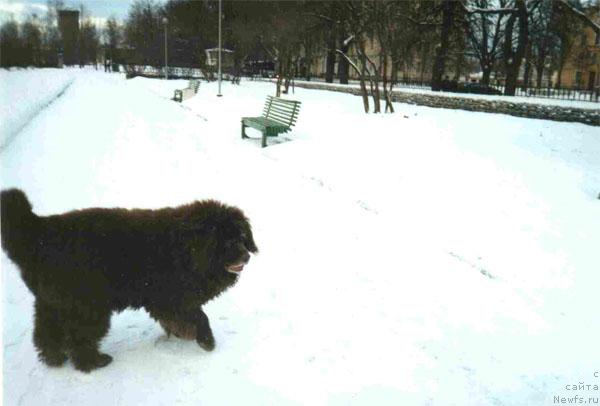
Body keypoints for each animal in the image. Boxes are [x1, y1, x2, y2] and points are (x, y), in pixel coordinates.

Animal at [0, 189, 258, 372]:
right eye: (227, 241)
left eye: (242, 236)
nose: (246, 255)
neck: (187, 251)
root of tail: (39, 232)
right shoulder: (170, 300)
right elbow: (200, 317)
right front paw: (206, 341)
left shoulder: (170, 304)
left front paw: (179, 335)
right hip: (87, 307)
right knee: (79, 338)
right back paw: (93, 362)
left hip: (52, 304)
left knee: (46, 334)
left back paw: (54, 359)